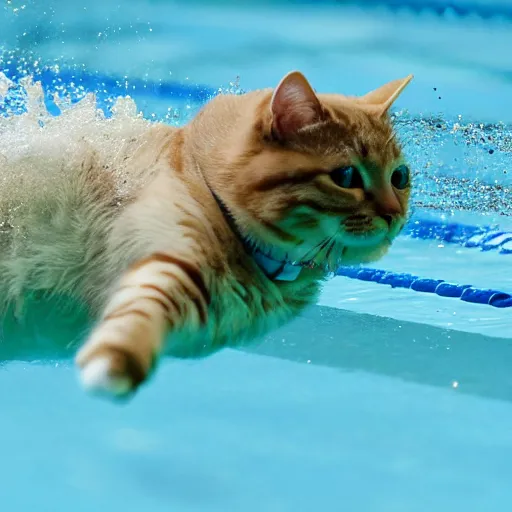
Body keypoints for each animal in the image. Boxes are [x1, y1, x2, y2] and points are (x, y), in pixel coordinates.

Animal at [2, 71, 414, 400]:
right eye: (346, 177)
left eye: (400, 177)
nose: (394, 214)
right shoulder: (167, 257)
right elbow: (139, 311)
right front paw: (118, 360)